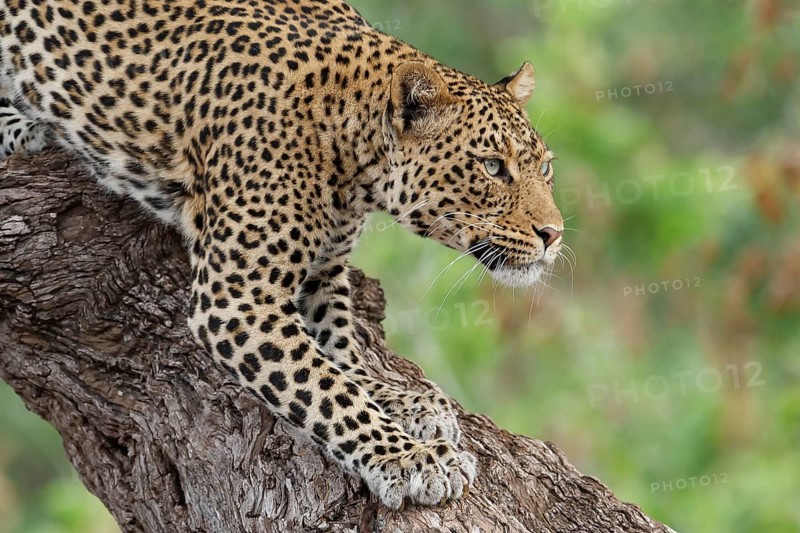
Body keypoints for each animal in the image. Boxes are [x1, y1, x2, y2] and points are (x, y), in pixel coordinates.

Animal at [0, 0, 564, 510]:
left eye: (545, 167)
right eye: (492, 166)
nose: (554, 235)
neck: (357, 160)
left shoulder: (323, 275)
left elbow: (343, 359)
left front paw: (407, 401)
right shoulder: (238, 297)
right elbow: (328, 391)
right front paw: (411, 458)